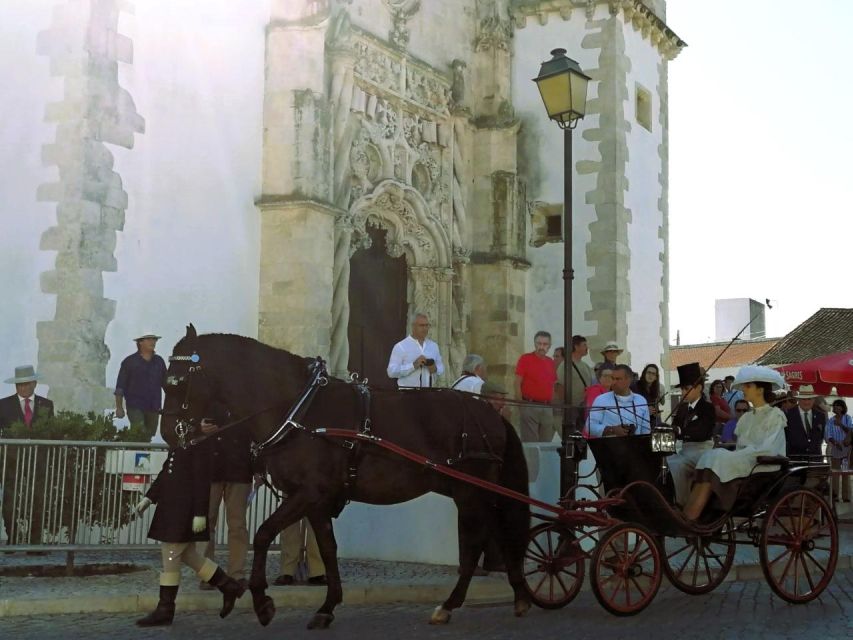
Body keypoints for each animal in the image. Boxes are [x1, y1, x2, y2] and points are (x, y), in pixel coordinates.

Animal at [160, 328, 528, 628]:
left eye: (178, 382)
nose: (167, 432)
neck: (299, 411)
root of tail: (488, 412)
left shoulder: (308, 492)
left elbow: (263, 534)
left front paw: (263, 602)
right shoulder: (315, 500)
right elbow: (327, 547)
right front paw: (327, 607)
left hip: (471, 490)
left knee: (478, 540)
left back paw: (457, 603)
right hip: (464, 488)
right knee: (495, 531)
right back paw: (515, 593)